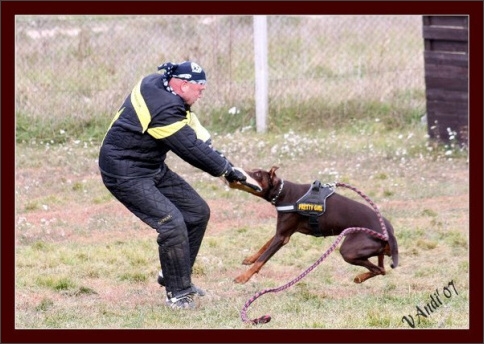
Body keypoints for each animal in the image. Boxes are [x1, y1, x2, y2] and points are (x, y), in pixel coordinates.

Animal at [227, 167, 398, 284]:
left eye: (257, 174)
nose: (236, 172)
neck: (283, 193)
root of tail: (389, 231)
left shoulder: (282, 237)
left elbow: (263, 259)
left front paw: (243, 277)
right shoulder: (284, 231)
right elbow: (265, 245)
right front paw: (250, 258)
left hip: (349, 250)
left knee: (379, 269)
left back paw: (359, 277)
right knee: (382, 268)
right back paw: (361, 277)